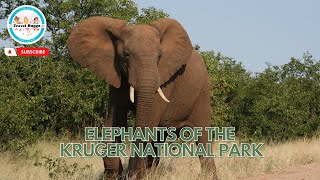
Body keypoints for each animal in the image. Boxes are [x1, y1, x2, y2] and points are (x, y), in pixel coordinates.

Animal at [66, 16, 219, 179]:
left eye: (159, 56)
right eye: (126, 55)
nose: (127, 172)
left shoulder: (164, 81)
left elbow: (149, 119)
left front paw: (134, 175)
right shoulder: (116, 76)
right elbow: (115, 119)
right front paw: (115, 174)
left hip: (203, 94)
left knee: (202, 136)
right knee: (158, 139)